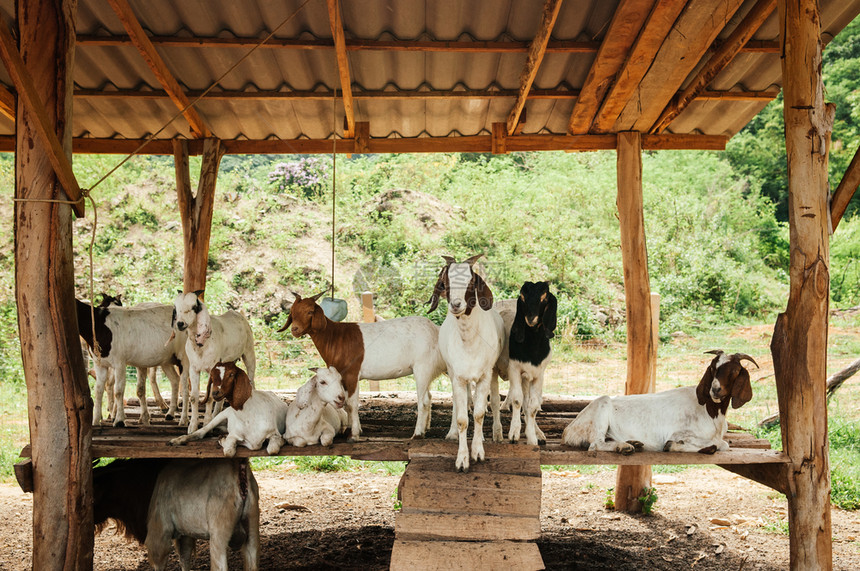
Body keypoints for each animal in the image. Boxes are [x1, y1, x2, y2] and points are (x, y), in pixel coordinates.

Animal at [170, 290, 255, 434]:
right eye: (175, 308)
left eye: (194, 307)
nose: (180, 324)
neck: (201, 346)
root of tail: (238, 313)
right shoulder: (194, 368)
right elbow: (194, 397)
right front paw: (192, 427)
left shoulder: (211, 367)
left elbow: (209, 396)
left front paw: (206, 424)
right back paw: (216, 415)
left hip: (249, 351)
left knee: (251, 379)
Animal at [280, 290, 446, 442]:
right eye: (292, 312)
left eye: (310, 311)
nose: (294, 329)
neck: (335, 338)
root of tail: (436, 330)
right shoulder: (341, 377)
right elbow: (346, 404)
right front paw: (352, 429)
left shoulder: (351, 374)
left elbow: (351, 404)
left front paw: (353, 435)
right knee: (430, 397)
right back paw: (426, 429)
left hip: (422, 367)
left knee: (424, 401)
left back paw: (418, 434)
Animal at [428, 256, 504, 474]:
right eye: (445, 283)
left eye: (470, 283)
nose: (456, 304)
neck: (469, 340)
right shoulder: (459, 378)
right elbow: (463, 418)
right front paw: (462, 459)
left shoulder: (485, 375)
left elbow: (479, 413)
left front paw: (478, 451)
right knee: (457, 404)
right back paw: (452, 432)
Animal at [560, 350, 756, 454]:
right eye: (713, 368)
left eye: (735, 371)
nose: (715, 389)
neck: (710, 410)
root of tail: (568, 430)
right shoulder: (679, 433)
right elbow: (722, 444)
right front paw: (674, 446)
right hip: (602, 407)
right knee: (596, 445)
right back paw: (625, 447)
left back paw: (634, 443)